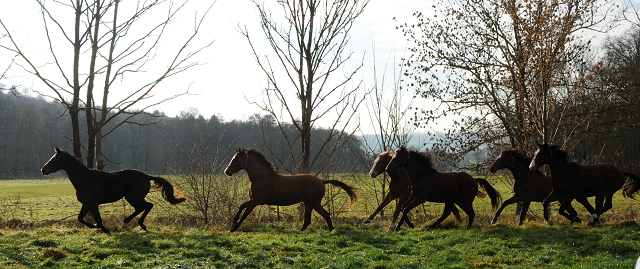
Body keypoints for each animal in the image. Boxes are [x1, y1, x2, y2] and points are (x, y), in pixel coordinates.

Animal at [41, 147, 185, 232]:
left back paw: (141, 224)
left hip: (134, 197)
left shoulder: (92, 204)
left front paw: (104, 229)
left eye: (54, 160)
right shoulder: (87, 204)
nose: (43, 170)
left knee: (148, 206)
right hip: (132, 198)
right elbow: (80, 218)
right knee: (141, 208)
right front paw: (94, 226)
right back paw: (127, 221)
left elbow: (97, 219)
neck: (85, 179)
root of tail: (146, 176)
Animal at [224, 148, 356, 231]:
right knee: (326, 215)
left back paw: (301, 230)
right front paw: (233, 228)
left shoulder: (258, 200)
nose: (227, 171)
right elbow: (244, 214)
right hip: (315, 203)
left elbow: (241, 206)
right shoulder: (253, 201)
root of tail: (322, 181)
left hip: (309, 203)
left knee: (308, 220)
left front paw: (234, 222)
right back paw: (331, 230)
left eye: (236, 159)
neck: (262, 177)